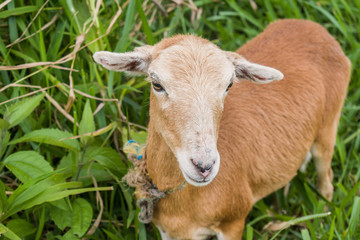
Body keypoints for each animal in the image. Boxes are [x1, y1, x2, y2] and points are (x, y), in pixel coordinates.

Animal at [93, 19, 352, 239]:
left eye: (229, 85)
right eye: (156, 84)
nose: (204, 166)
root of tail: (315, 27)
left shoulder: (234, 219)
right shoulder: (167, 230)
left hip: (329, 124)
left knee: (326, 178)